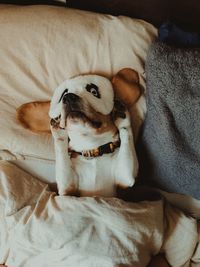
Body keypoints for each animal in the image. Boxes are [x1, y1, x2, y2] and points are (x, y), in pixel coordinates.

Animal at [17, 68, 142, 199]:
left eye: (93, 92)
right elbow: (61, 153)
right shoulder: (67, 189)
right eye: (63, 94)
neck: (92, 151)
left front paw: (122, 116)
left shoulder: (125, 178)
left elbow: (126, 135)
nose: (68, 96)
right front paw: (58, 129)